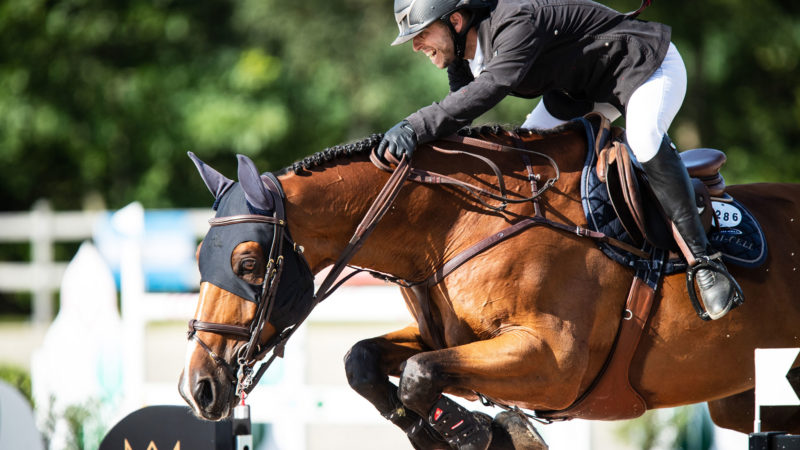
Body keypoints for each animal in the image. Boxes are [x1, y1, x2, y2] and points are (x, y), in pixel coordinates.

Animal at [178, 118, 800, 448]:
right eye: (200, 257)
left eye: (249, 264)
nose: (198, 389)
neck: (453, 223)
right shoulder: (449, 338)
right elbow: (366, 360)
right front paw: (442, 430)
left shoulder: (553, 362)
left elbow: (418, 374)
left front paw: (486, 432)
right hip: (743, 400)